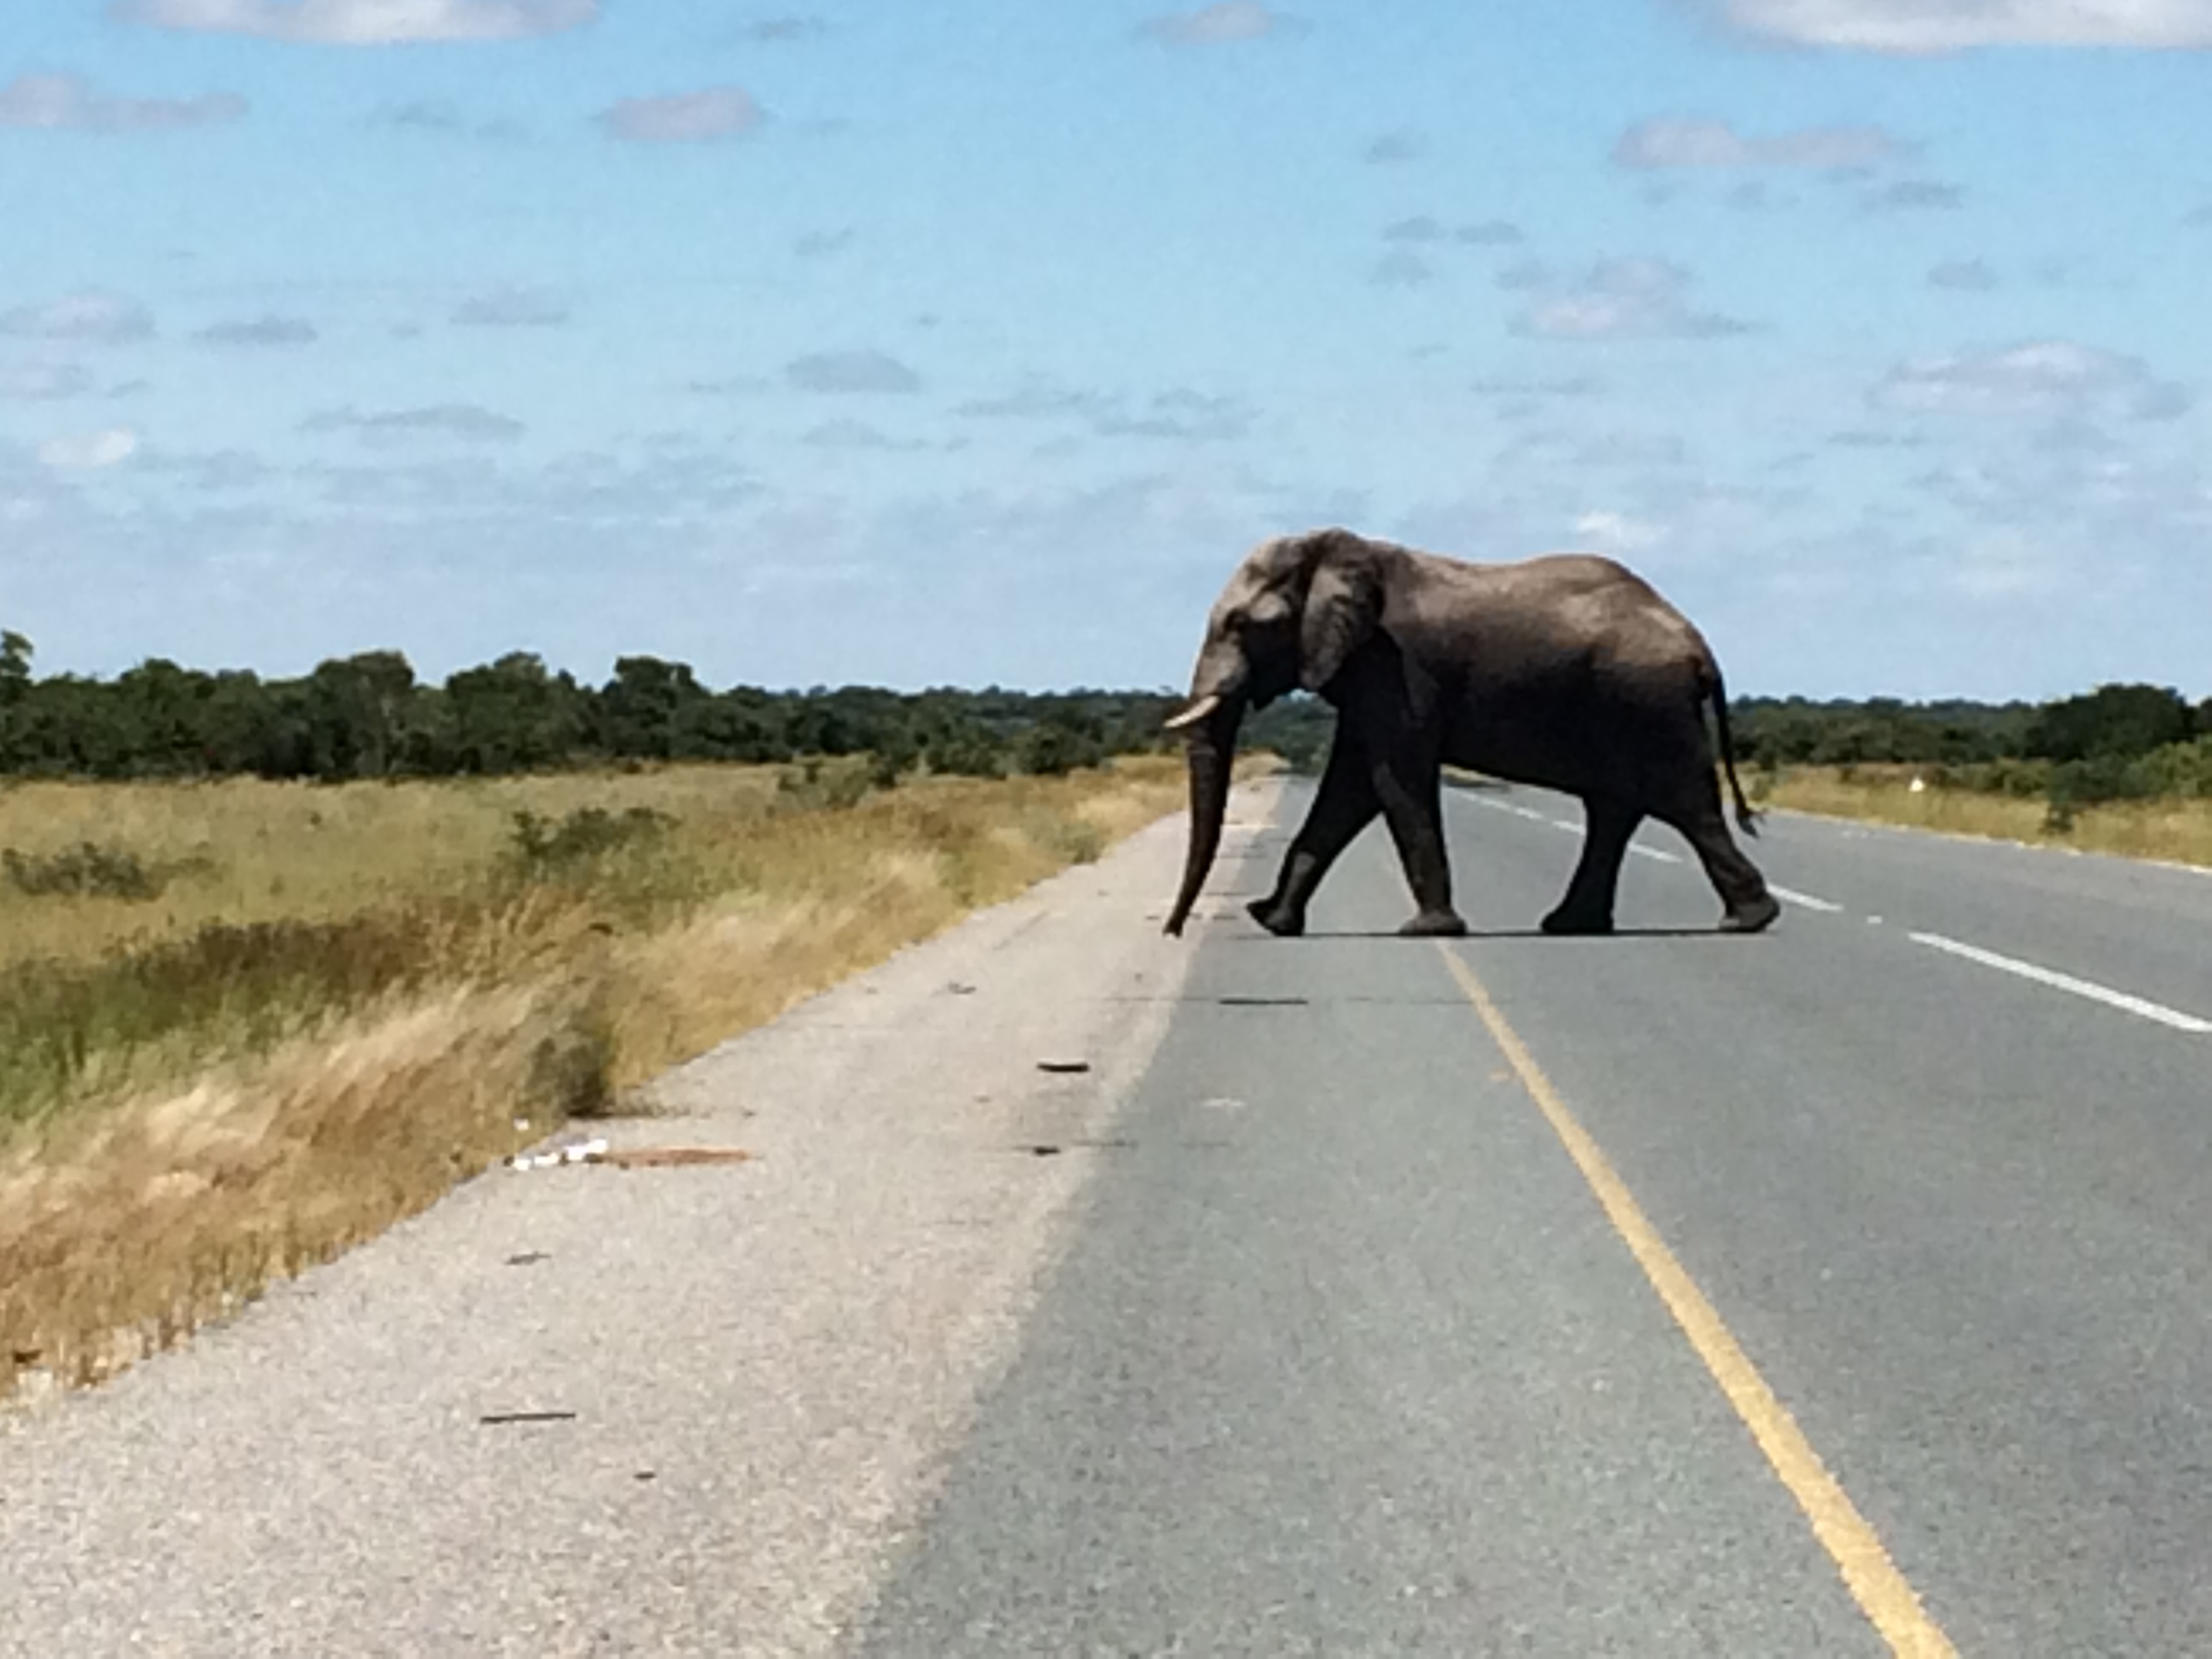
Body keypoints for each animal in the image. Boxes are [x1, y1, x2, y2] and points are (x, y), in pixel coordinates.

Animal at [1160, 527, 1780, 940]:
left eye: (1244, 625)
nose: (1172, 930)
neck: (1336, 552)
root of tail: (1698, 646)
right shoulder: (1367, 675)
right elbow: (1348, 788)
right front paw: (1272, 921)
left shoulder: (1397, 668)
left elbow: (1395, 783)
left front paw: (1429, 930)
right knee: (1614, 809)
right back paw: (1571, 925)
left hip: (1649, 703)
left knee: (1684, 802)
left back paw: (1748, 921)